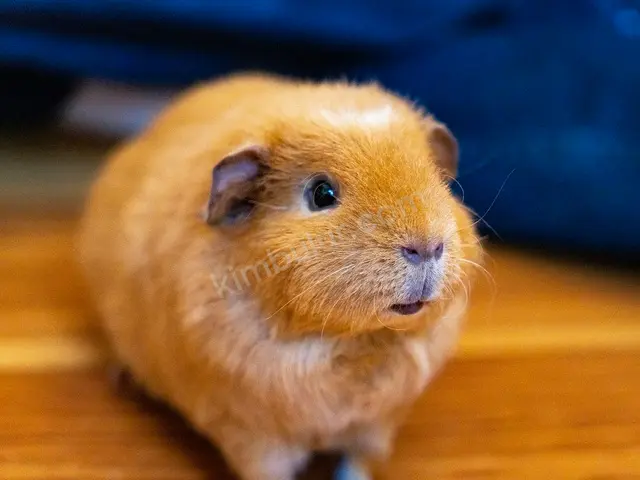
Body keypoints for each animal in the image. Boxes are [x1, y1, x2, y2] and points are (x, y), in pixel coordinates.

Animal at [79, 73, 482, 480]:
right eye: (322, 193)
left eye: (433, 175)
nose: (427, 245)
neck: (354, 342)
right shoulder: (254, 437)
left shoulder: (374, 427)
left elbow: (357, 465)